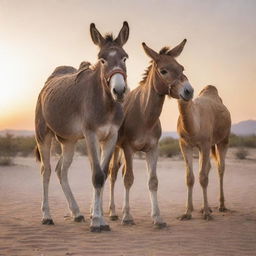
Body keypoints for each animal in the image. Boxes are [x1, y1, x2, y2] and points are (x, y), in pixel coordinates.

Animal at [34, 21, 129, 232]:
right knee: (46, 171)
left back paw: (76, 212)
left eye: (124, 57)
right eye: (102, 60)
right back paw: (46, 216)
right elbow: (97, 176)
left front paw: (100, 219)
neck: (106, 104)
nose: (119, 91)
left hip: (67, 141)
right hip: (43, 135)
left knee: (61, 170)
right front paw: (97, 221)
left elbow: (102, 174)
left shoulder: (110, 137)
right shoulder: (91, 135)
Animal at [108, 39, 194, 227]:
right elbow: (128, 178)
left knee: (114, 172)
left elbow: (153, 181)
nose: (189, 91)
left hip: (117, 148)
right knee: (110, 173)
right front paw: (127, 216)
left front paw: (158, 217)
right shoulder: (128, 148)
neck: (144, 114)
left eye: (182, 68)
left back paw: (113, 212)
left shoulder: (153, 149)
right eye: (163, 70)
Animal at [177, 84, 231, 220]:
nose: (187, 92)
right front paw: (187, 213)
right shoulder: (185, 145)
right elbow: (190, 177)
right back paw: (201, 207)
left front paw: (206, 213)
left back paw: (221, 205)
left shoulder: (205, 144)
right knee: (208, 168)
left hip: (224, 140)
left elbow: (203, 177)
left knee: (220, 168)